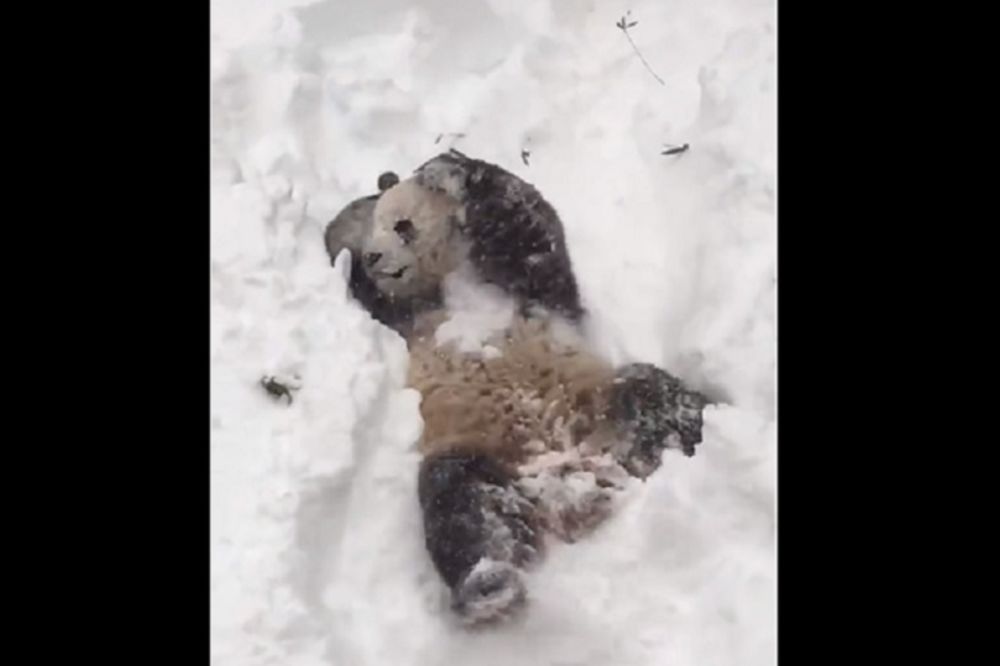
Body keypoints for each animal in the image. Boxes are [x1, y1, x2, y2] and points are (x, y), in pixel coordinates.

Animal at [325, 150, 707, 625]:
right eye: (374, 234)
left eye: (402, 225)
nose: (375, 256)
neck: (444, 293)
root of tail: (573, 490)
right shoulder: (401, 319)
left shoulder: (526, 295)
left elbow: (534, 238)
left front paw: (448, 169)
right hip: (482, 449)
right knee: (461, 500)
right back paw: (489, 586)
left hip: (600, 403)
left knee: (653, 393)